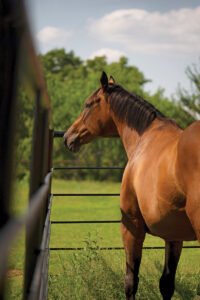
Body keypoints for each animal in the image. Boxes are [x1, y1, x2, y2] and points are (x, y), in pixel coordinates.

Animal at [64, 71, 200, 298]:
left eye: (88, 104)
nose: (68, 136)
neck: (145, 138)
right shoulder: (173, 235)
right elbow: (166, 284)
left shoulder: (131, 226)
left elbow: (130, 281)